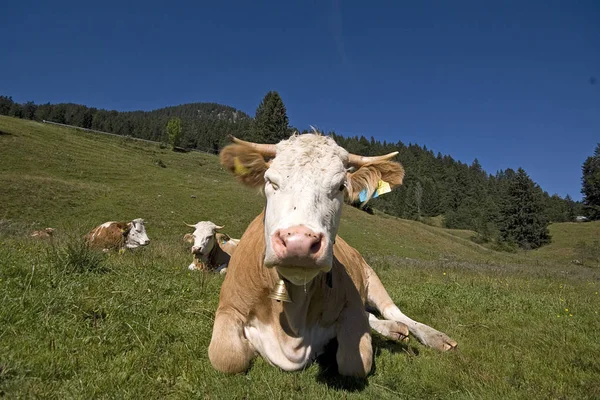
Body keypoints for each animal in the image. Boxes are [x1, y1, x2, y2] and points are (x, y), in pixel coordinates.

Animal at [209, 134, 458, 378]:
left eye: (340, 186)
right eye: (271, 181)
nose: (298, 242)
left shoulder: (351, 308)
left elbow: (355, 363)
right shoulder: (229, 307)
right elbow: (226, 357)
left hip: (371, 277)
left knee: (394, 312)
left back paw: (432, 336)